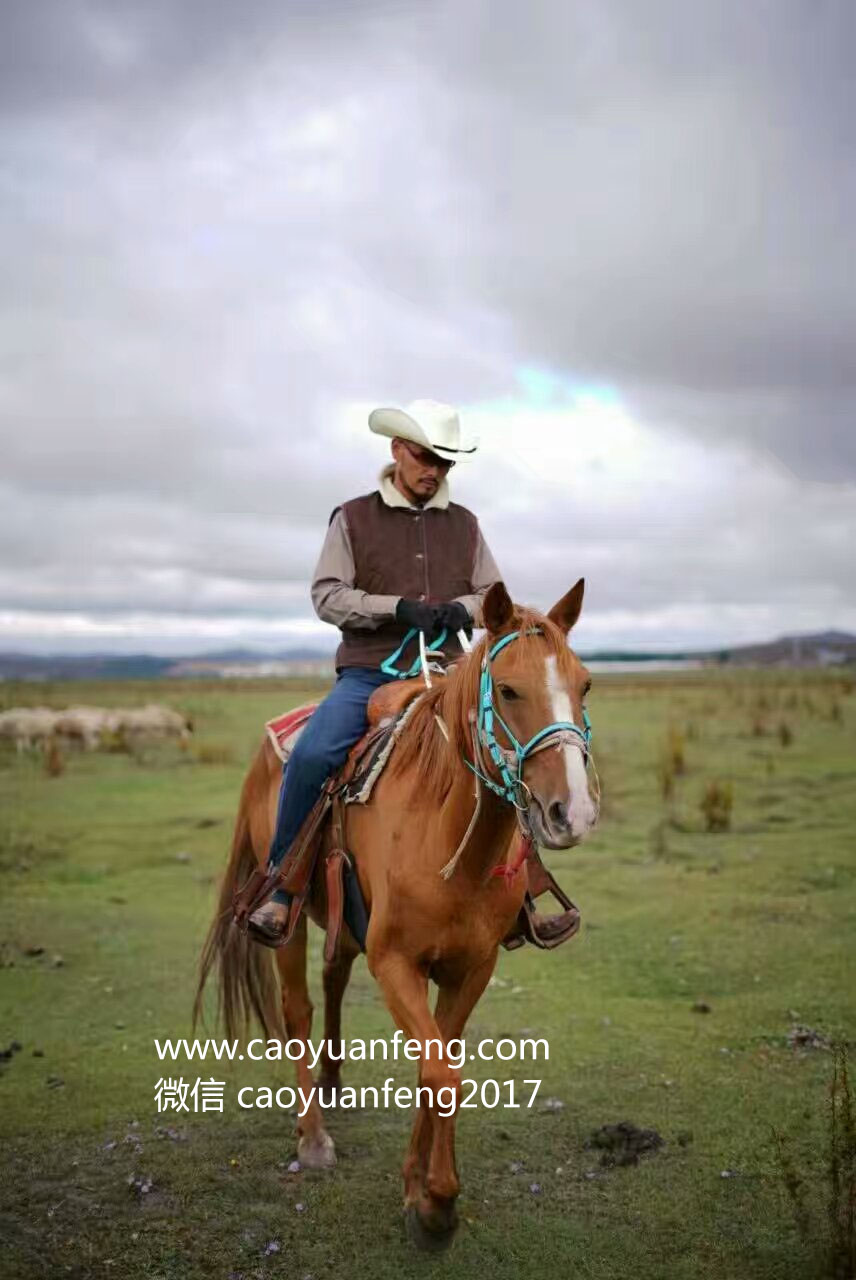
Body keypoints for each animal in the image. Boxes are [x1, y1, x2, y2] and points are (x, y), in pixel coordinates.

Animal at [194, 581, 598, 1249]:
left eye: (584, 684)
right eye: (508, 690)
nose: (575, 812)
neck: (448, 842)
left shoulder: (472, 968)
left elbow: (440, 1067)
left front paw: (421, 1190)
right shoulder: (395, 964)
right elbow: (439, 1073)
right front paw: (435, 1206)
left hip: (344, 923)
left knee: (333, 978)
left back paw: (332, 1084)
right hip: (288, 924)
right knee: (298, 1009)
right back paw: (313, 1136)